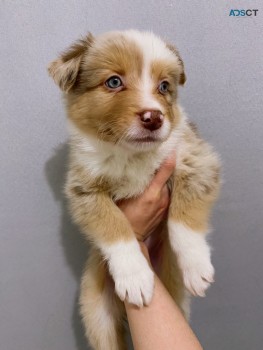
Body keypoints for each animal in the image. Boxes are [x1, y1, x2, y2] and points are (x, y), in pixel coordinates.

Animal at [49, 30, 221, 350]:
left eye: (164, 86)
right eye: (114, 82)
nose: (154, 118)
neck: (132, 155)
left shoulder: (197, 159)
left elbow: (183, 219)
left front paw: (196, 266)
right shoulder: (84, 190)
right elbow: (115, 226)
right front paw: (135, 277)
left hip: (177, 300)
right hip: (97, 315)